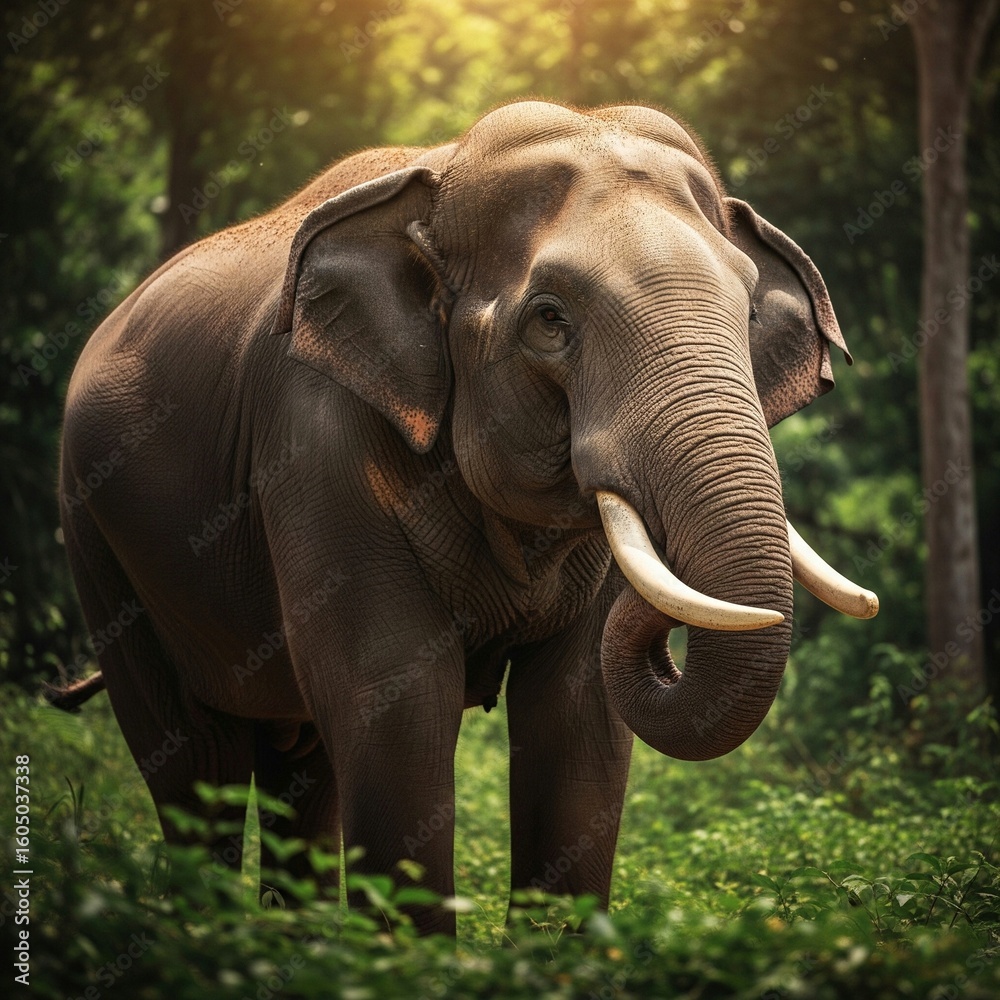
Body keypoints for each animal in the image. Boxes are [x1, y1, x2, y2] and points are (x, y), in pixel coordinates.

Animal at [56, 100, 877, 934]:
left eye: (749, 309)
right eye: (549, 319)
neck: (438, 174)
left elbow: (577, 712)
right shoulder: (313, 438)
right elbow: (394, 694)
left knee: (303, 766)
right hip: (95, 534)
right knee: (195, 759)